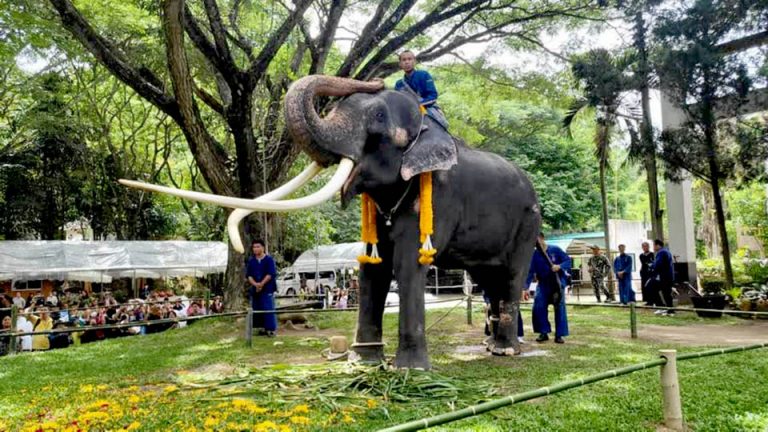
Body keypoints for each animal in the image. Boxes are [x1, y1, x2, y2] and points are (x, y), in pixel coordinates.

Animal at [119, 75, 541, 369]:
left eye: (377, 121)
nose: (376, 77)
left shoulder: (439, 195)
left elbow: (408, 265)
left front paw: (409, 371)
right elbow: (371, 267)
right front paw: (362, 362)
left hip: (527, 223)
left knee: (510, 278)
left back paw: (505, 351)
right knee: (490, 280)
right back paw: (493, 345)